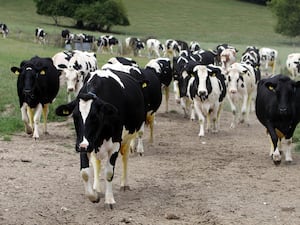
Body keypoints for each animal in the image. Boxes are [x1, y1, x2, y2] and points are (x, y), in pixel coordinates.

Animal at [56, 67, 146, 207]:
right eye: (75, 117)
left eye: (95, 117)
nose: (83, 145)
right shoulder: (84, 144)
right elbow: (85, 172)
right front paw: (93, 196)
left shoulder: (115, 145)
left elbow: (109, 172)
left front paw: (109, 200)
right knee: (96, 163)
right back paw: (96, 188)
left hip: (128, 137)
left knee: (125, 157)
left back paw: (124, 184)